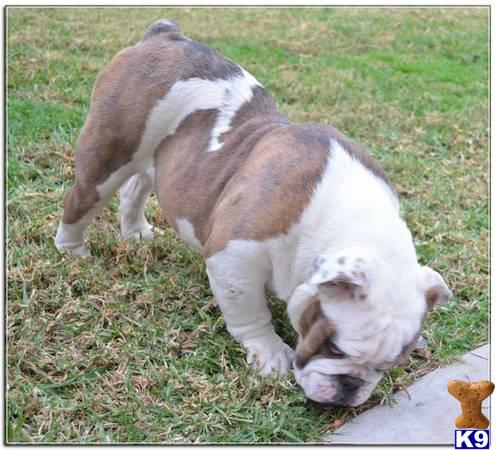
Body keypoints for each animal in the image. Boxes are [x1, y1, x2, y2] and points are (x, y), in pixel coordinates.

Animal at [55, 19, 454, 408]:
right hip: (109, 149)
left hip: (156, 158)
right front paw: (271, 353)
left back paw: (136, 232)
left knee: (137, 186)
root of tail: (164, 35)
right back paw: (72, 251)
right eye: (335, 348)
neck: (345, 223)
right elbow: (250, 313)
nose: (351, 388)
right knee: (83, 199)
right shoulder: (235, 260)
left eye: (387, 366)